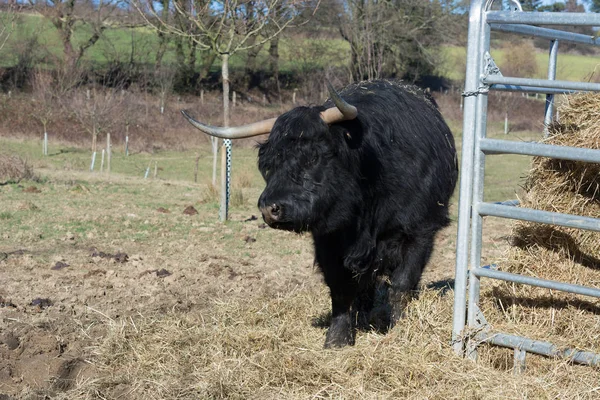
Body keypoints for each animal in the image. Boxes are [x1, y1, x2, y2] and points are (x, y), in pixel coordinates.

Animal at [180, 80, 458, 346]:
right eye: (268, 163)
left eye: (312, 157)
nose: (270, 208)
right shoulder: (328, 239)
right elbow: (341, 289)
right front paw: (338, 337)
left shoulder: (419, 231)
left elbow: (402, 284)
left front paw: (399, 328)